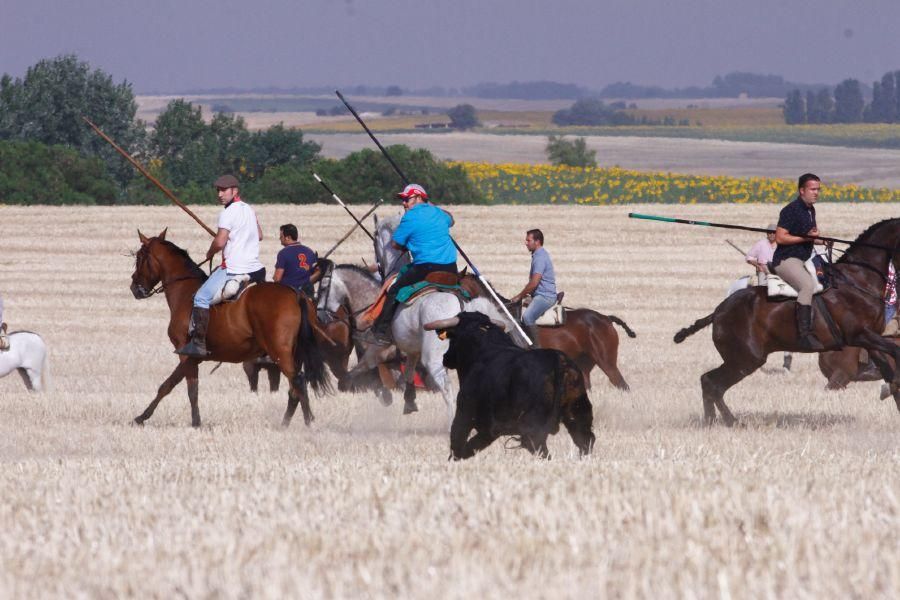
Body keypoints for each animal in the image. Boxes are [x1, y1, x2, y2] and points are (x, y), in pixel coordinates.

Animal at [130, 227, 330, 428]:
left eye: (139, 257)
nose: (134, 288)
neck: (184, 291)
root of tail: (297, 294)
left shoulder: (186, 353)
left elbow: (184, 388)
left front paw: (192, 422)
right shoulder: (192, 358)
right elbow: (175, 385)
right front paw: (145, 417)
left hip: (279, 351)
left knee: (298, 381)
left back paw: (307, 423)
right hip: (295, 353)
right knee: (295, 388)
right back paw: (286, 423)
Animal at [428, 310, 596, 460]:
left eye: (452, 338)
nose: (445, 357)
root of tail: (558, 361)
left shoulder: (465, 415)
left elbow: (457, 444)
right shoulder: (489, 431)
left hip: (534, 426)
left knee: (538, 447)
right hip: (578, 412)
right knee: (585, 440)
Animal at [672, 218, 900, 424]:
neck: (859, 279)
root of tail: (718, 312)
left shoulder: (870, 339)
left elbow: (889, 370)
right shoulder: (859, 335)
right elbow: (895, 354)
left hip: (742, 360)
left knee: (710, 382)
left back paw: (721, 421)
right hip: (746, 359)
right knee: (712, 383)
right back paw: (722, 421)